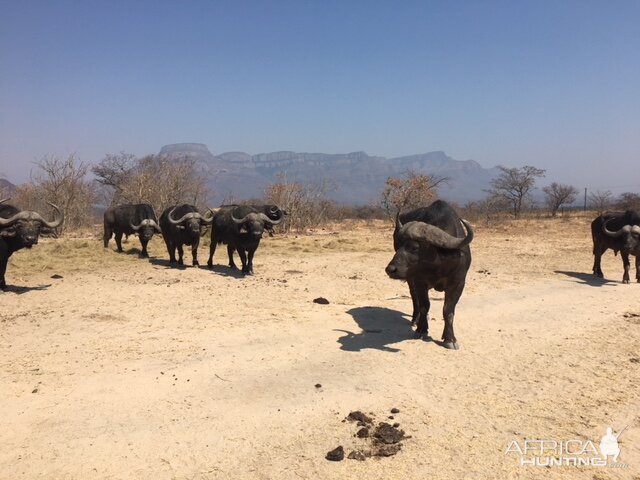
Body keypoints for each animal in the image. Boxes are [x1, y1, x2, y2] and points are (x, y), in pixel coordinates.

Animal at [382, 201, 472, 350]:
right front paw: (421, 330)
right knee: (414, 298)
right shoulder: (419, 281)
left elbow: (448, 310)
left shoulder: (458, 283)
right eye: (398, 244)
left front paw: (449, 338)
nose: (390, 269)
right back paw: (415, 319)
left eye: (414, 247)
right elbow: (424, 305)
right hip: (410, 279)